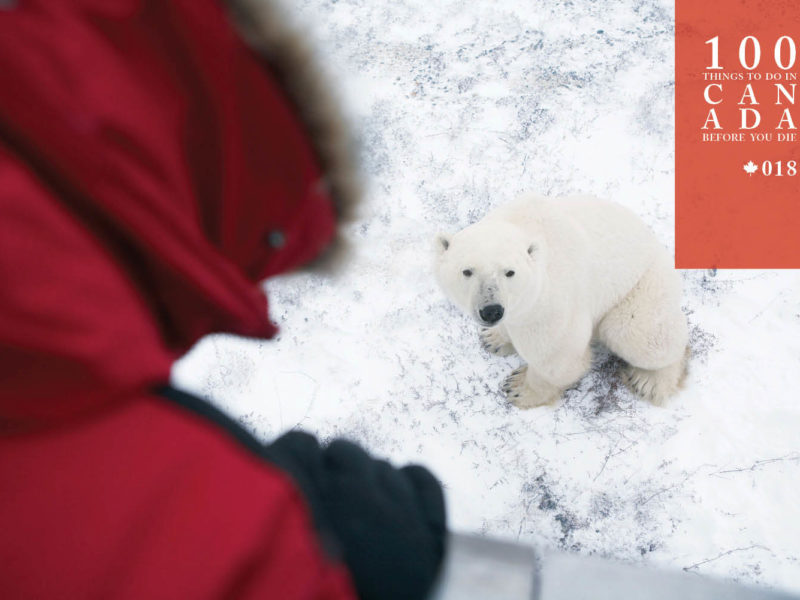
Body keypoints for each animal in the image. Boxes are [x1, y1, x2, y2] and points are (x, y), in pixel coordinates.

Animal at [434, 195, 692, 410]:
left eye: (510, 272)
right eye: (467, 271)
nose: (491, 311)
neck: (525, 223)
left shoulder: (553, 300)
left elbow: (556, 356)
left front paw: (519, 388)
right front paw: (494, 339)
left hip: (643, 286)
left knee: (639, 334)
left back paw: (649, 381)